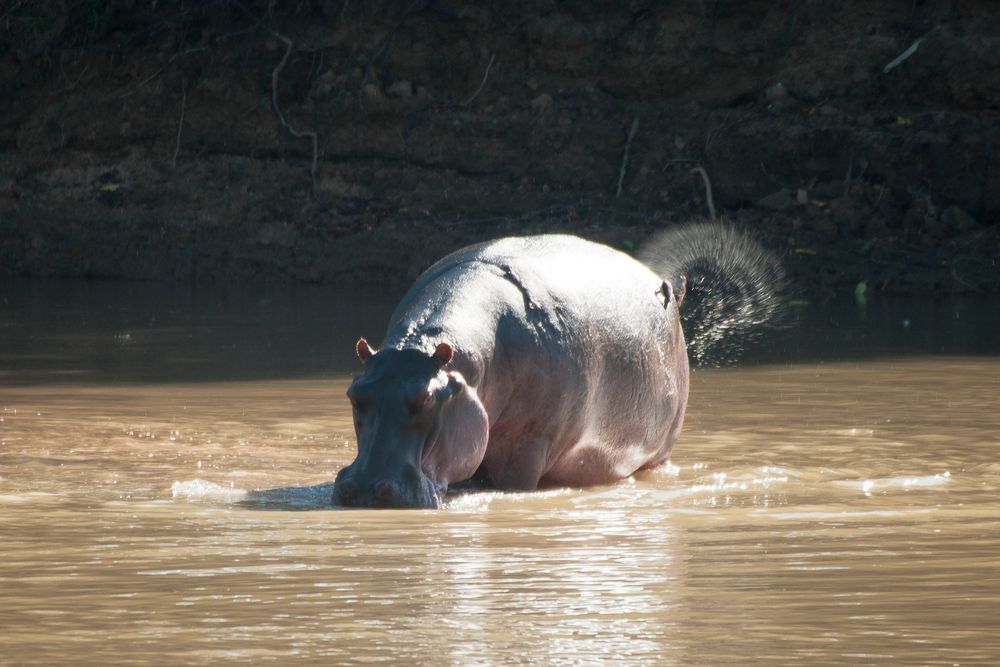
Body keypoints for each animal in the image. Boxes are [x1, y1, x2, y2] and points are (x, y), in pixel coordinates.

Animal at [334, 222, 780, 508]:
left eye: (426, 398)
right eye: (355, 394)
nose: (367, 488)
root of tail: (669, 283)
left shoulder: (527, 450)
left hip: (662, 448)